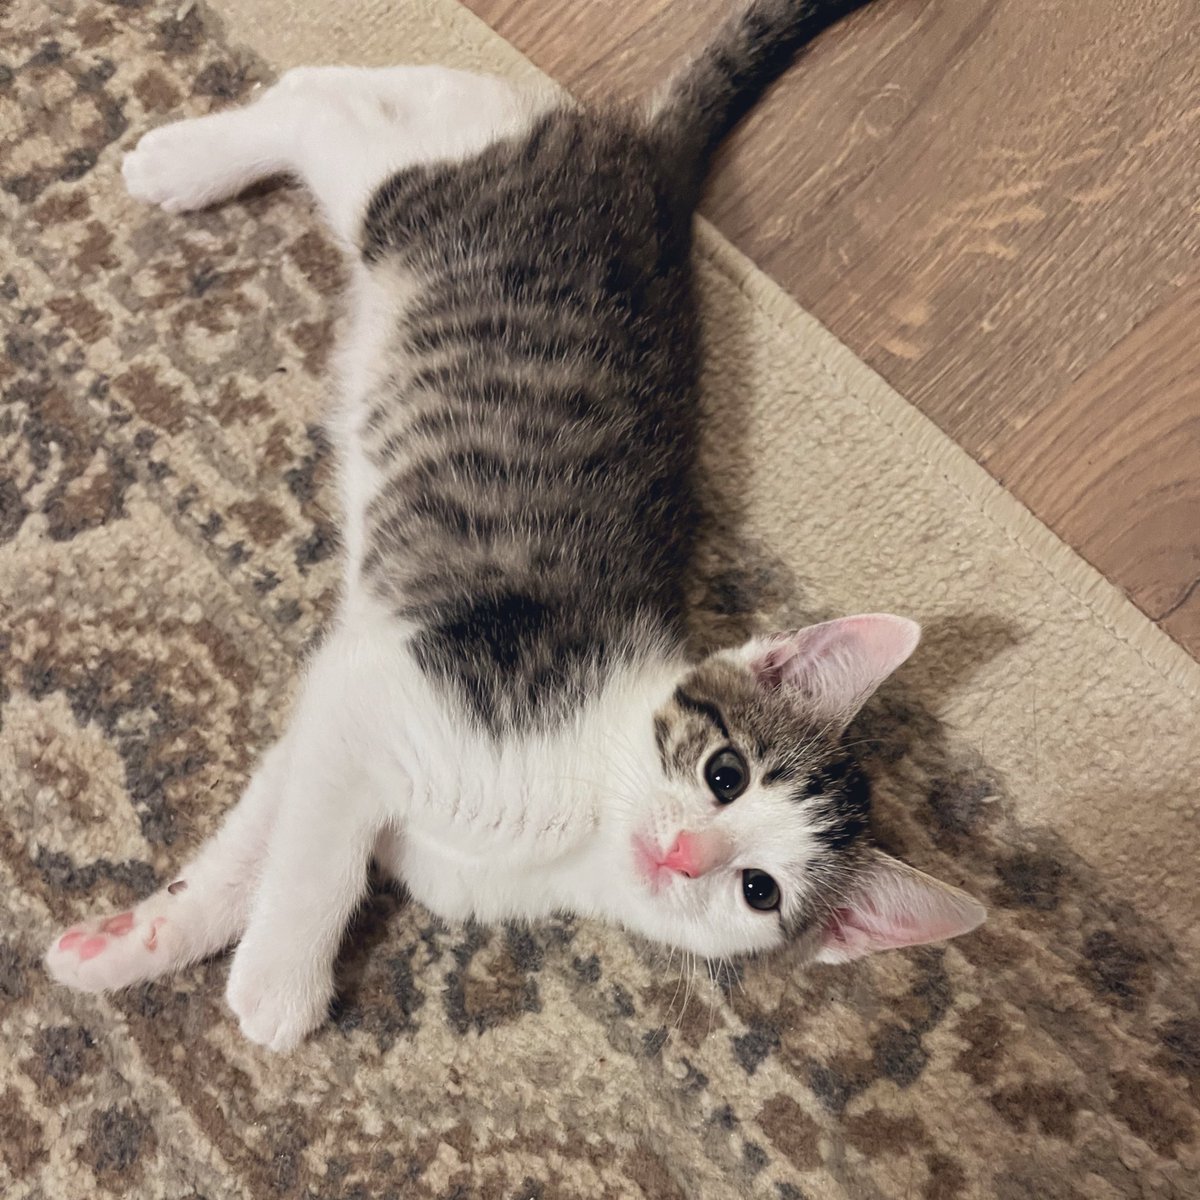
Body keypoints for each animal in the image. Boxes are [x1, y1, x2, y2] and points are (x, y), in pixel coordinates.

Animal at [46, 2, 984, 1051]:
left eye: (758, 890)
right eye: (726, 774)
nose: (682, 853)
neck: (582, 818)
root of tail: (650, 173)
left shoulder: (350, 703)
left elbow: (276, 819)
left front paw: (133, 941)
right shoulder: (404, 679)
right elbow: (320, 855)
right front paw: (281, 985)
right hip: (416, 208)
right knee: (339, 112)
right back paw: (186, 157)